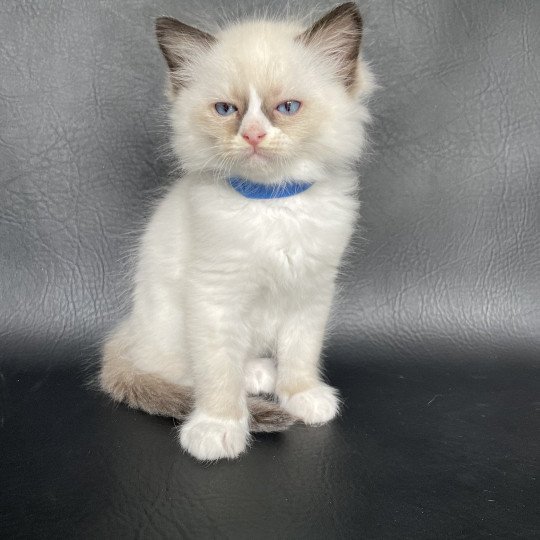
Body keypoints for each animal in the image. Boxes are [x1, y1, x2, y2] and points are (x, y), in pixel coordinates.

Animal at [99, 3, 374, 460]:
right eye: (227, 110)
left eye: (287, 107)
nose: (253, 135)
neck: (272, 203)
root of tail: (128, 331)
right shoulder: (215, 297)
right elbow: (217, 373)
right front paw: (218, 428)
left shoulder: (312, 290)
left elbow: (301, 351)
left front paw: (302, 396)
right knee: (180, 371)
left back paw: (264, 374)